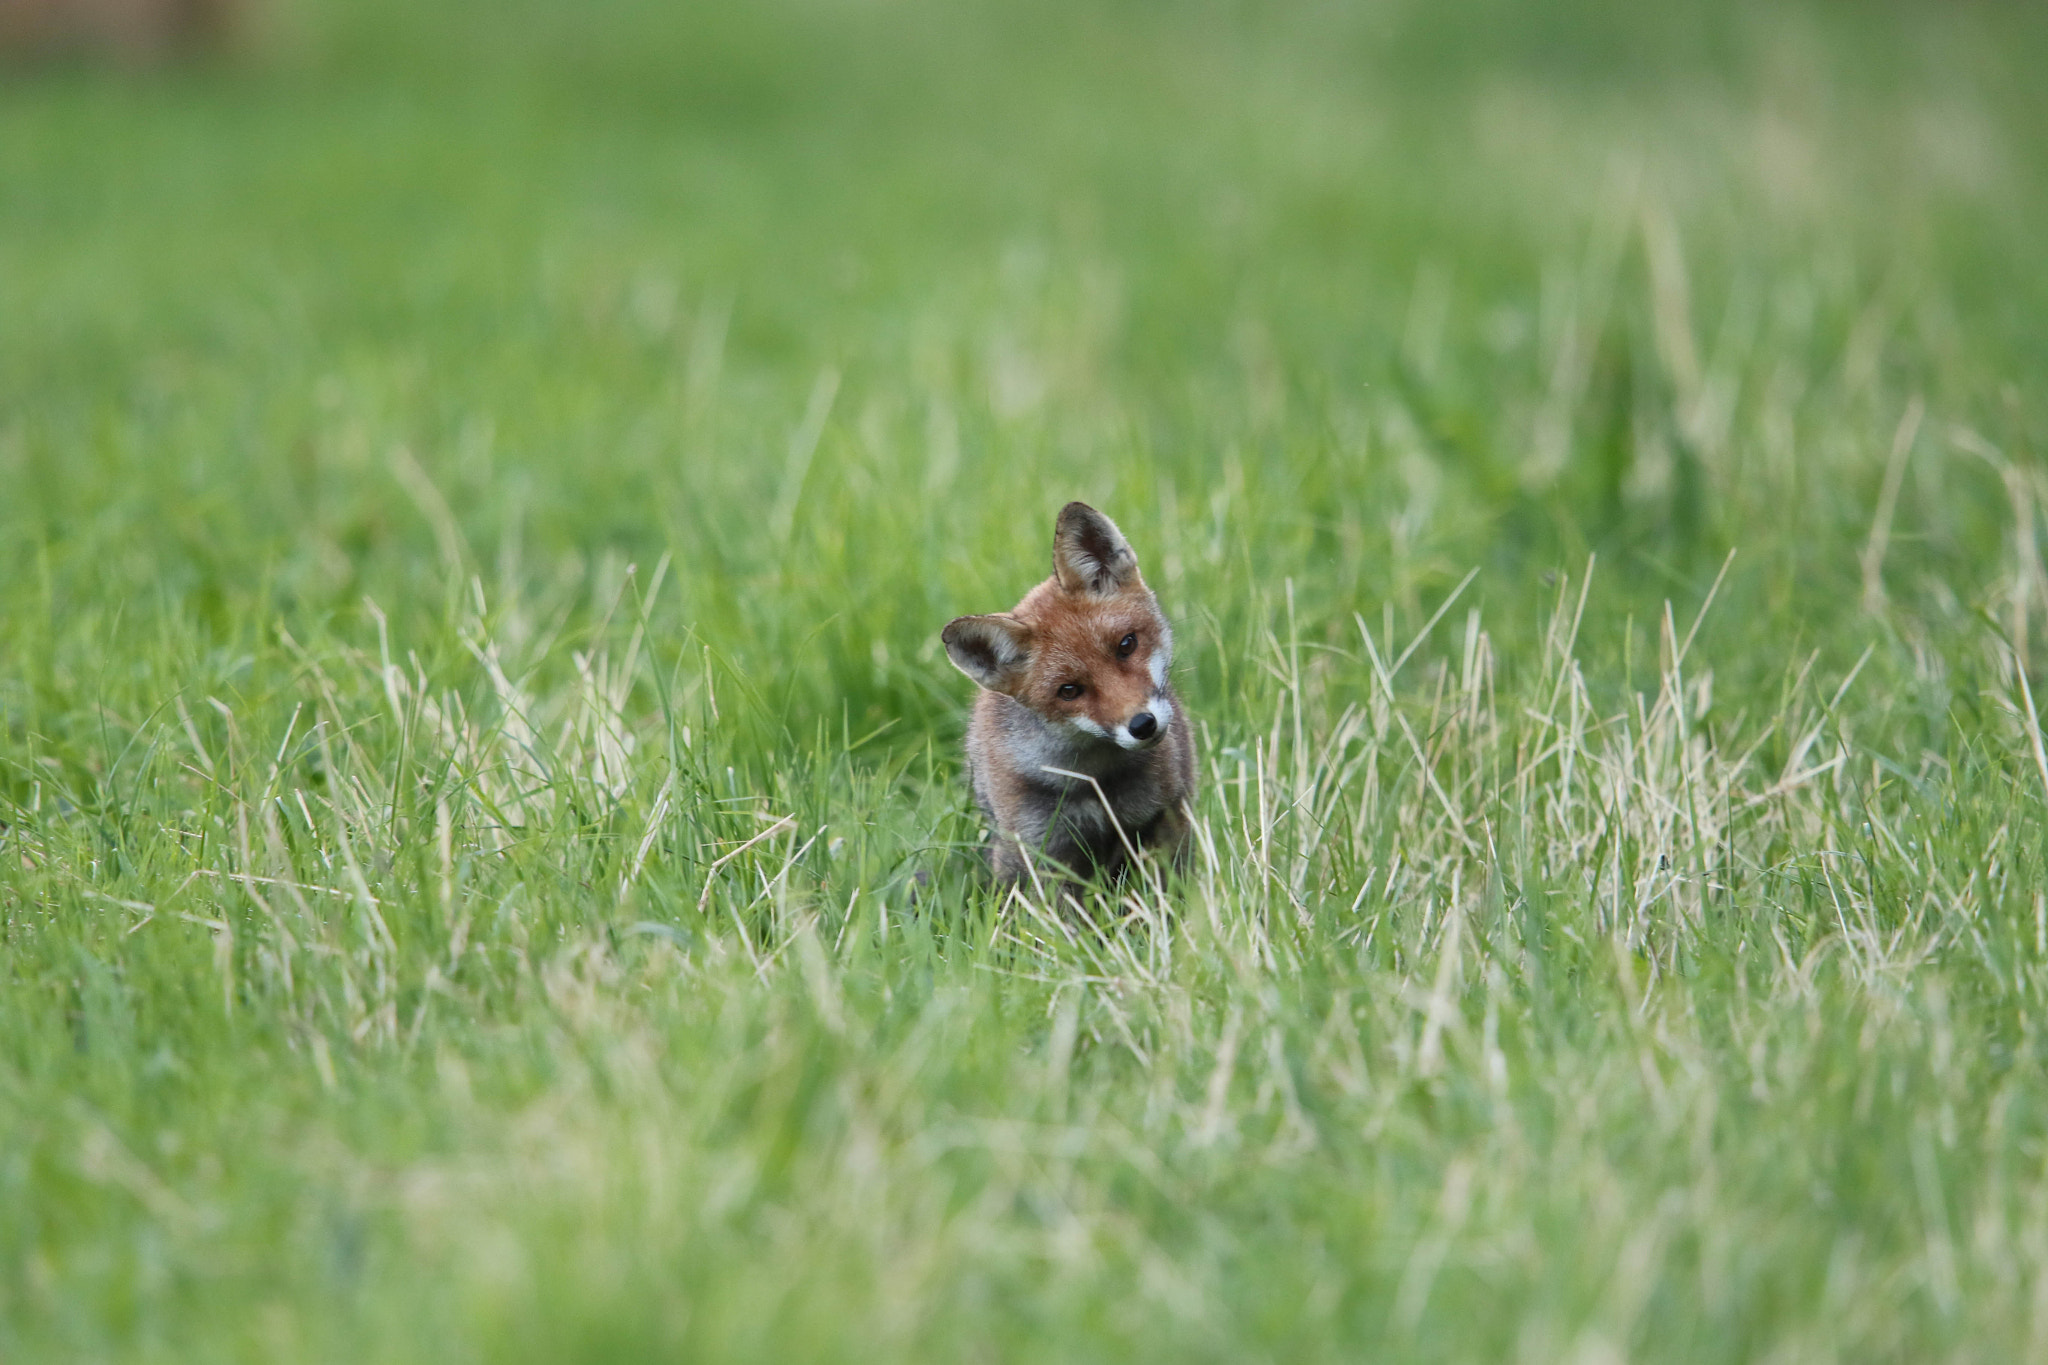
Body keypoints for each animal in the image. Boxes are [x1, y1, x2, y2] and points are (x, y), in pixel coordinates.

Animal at [937, 501, 1196, 896]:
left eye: (1126, 645)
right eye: (1069, 690)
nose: (1142, 725)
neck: (1095, 780)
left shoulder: (1164, 815)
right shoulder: (1043, 849)